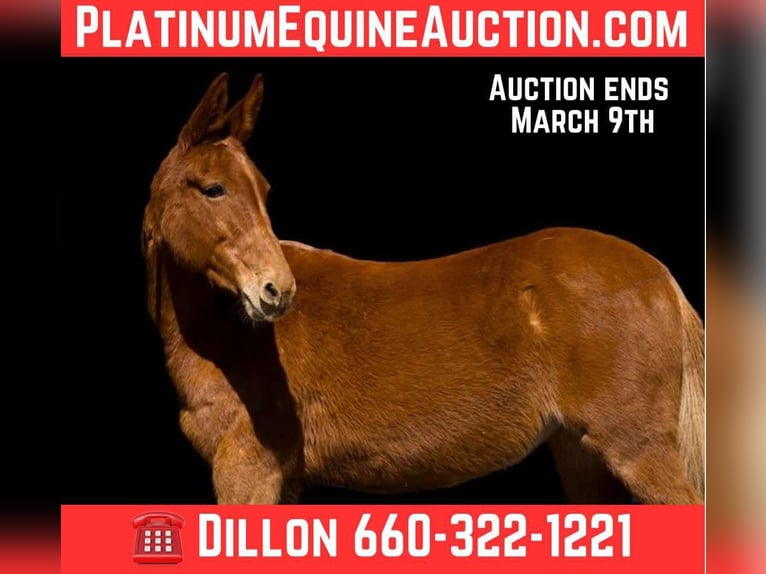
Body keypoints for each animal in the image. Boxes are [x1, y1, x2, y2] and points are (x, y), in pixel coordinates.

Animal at [141, 72, 705, 505]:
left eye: (263, 190)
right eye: (214, 189)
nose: (276, 291)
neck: (226, 337)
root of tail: (660, 275)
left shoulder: (247, 468)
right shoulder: (281, 476)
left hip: (637, 448)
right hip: (581, 454)